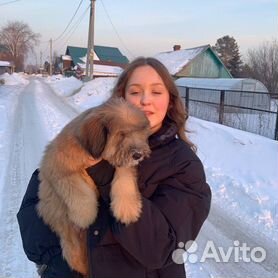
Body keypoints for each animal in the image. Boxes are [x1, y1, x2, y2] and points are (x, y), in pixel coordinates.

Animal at [36, 97, 151, 274]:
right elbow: (75, 187)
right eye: (121, 134)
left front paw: (127, 209)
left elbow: (124, 178)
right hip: (71, 242)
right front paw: (85, 215)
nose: (138, 155)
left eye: (140, 132)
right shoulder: (57, 166)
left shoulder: (123, 166)